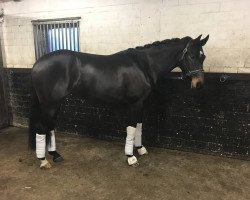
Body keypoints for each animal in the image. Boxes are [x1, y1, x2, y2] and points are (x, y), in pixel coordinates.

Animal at [28, 34, 209, 167]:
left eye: (203, 56)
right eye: (192, 55)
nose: (199, 83)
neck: (143, 65)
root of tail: (37, 64)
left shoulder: (140, 104)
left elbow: (139, 126)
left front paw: (140, 149)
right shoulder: (135, 103)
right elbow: (132, 128)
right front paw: (131, 157)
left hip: (55, 103)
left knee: (50, 126)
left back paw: (55, 155)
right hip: (50, 104)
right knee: (42, 127)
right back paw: (43, 161)